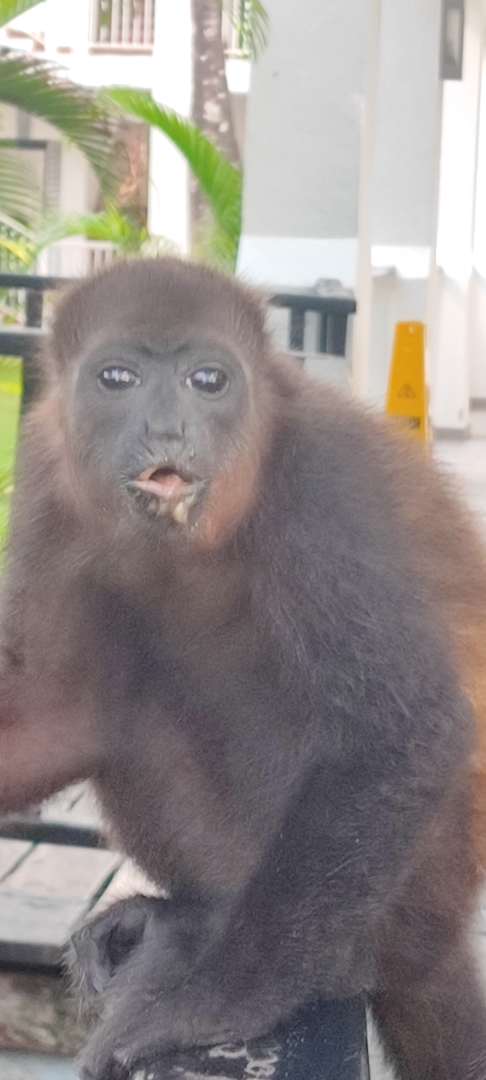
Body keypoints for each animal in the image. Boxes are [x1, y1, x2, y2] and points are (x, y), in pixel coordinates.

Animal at [1, 256, 486, 1080]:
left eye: (208, 380)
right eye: (117, 377)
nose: (167, 429)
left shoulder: (323, 486)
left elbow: (404, 730)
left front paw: (212, 1002)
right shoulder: (42, 472)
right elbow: (57, 706)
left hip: (412, 885)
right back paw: (182, 914)